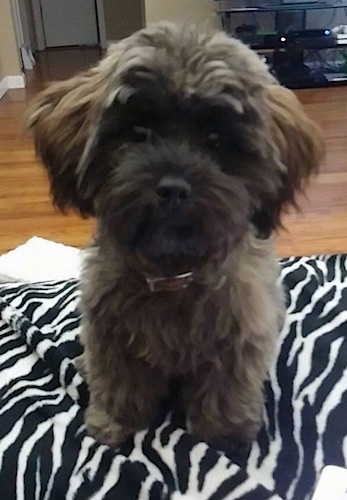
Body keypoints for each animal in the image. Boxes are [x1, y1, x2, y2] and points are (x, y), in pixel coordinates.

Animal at [28, 22, 324, 450]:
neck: (173, 273)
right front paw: (114, 421)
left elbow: (226, 385)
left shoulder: (239, 332)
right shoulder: (109, 331)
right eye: (138, 131)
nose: (172, 188)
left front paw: (224, 433)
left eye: (216, 140)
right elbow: (118, 381)